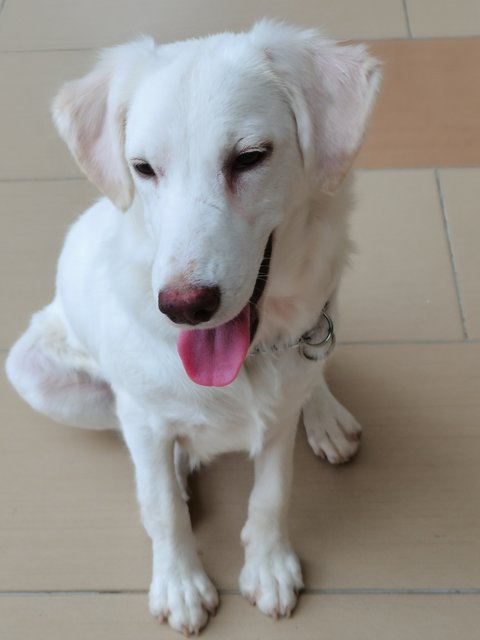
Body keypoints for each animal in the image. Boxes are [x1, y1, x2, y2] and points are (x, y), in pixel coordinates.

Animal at [3, 20, 378, 636]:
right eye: (143, 168)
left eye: (250, 157)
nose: (183, 307)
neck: (249, 362)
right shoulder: (141, 414)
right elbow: (160, 509)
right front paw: (179, 584)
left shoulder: (278, 416)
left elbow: (272, 494)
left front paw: (269, 566)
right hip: (33, 370)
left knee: (312, 373)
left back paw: (324, 414)